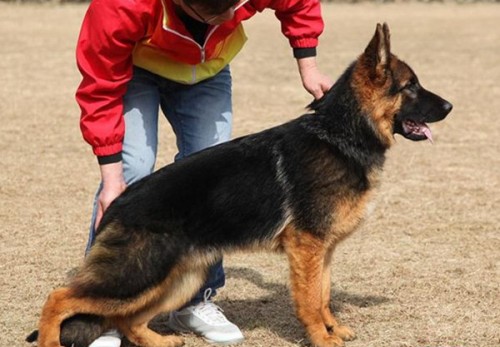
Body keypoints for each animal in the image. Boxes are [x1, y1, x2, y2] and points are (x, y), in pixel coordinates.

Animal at [28, 24, 454, 347]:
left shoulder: (323, 250)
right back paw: (52, 340)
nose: (451, 106)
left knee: (129, 320)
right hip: (135, 275)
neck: (341, 135)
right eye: (411, 86)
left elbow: (324, 295)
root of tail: (119, 202)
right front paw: (321, 338)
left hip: (179, 278)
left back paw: (160, 341)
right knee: (59, 297)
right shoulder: (307, 248)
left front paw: (334, 329)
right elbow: (310, 301)